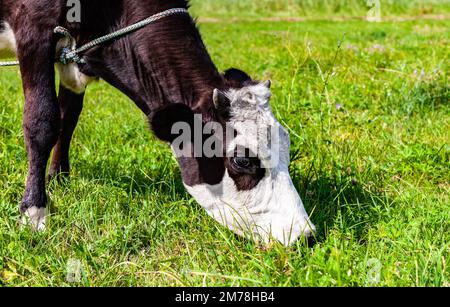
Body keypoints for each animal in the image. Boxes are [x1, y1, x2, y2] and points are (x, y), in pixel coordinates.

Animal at [0, 0, 316, 245]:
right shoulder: (34, 29)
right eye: (242, 160)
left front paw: (58, 177)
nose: (304, 235)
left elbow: (68, 119)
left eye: (286, 146)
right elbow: (43, 121)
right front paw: (34, 212)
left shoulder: (73, 61)